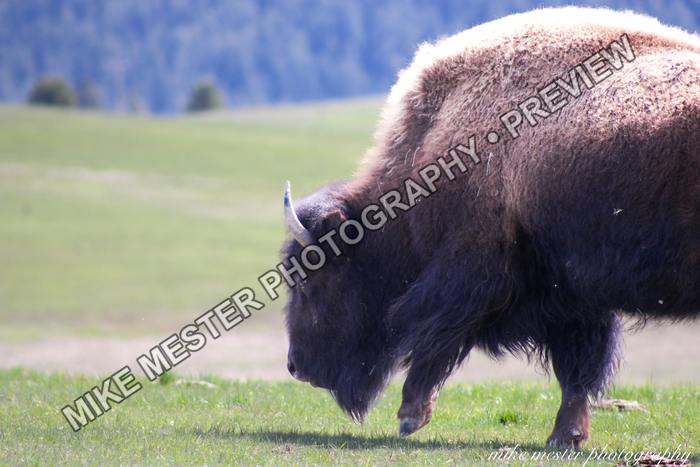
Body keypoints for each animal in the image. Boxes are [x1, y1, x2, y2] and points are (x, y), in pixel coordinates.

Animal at [281, 7, 700, 448]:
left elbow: (436, 332)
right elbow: (578, 367)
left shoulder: (472, 269)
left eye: (312, 280)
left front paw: (409, 416)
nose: (295, 366)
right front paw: (565, 436)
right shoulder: (573, 295)